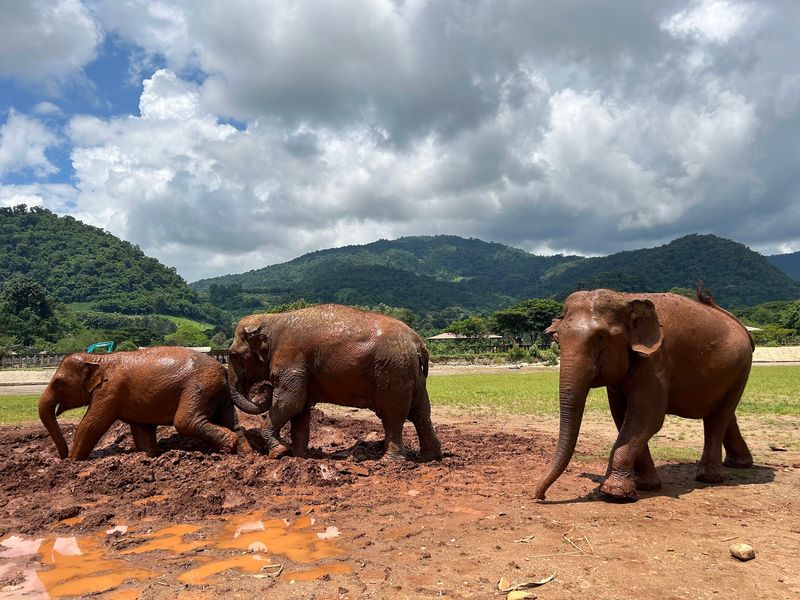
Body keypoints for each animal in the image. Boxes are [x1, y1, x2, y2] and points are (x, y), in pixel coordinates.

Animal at [39, 346, 265, 460]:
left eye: (58, 383)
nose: (61, 458)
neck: (98, 357)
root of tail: (223, 370)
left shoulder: (109, 392)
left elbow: (92, 424)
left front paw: (72, 463)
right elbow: (142, 431)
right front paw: (149, 457)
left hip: (199, 386)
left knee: (185, 421)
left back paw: (227, 448)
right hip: (220, 394)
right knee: (232, 422)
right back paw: (246, 456)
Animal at [227, 304, 442, 461]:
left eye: (233, 355)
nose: (265, 387)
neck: (272, 318)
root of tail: (417, 342)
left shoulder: (291, 360)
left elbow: (291, 402)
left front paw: (279, 453)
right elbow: (300, 410)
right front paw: (299, 456)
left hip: (393, 372)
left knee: (393, 416)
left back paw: (390, 461)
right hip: (413, 375)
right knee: (421, 414)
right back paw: (430, 458)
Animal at [533, 288, 754, 501]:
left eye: (601, 337)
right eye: (557, 339)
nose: (539, 496)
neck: (626, 299)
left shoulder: (657, 362)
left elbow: (647, 418)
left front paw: (614, 493)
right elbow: (622, 415)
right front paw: (645, 485)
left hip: (742, 368)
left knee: (718, 418)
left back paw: (709, 477)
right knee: (725, 414)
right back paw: (739, 464)